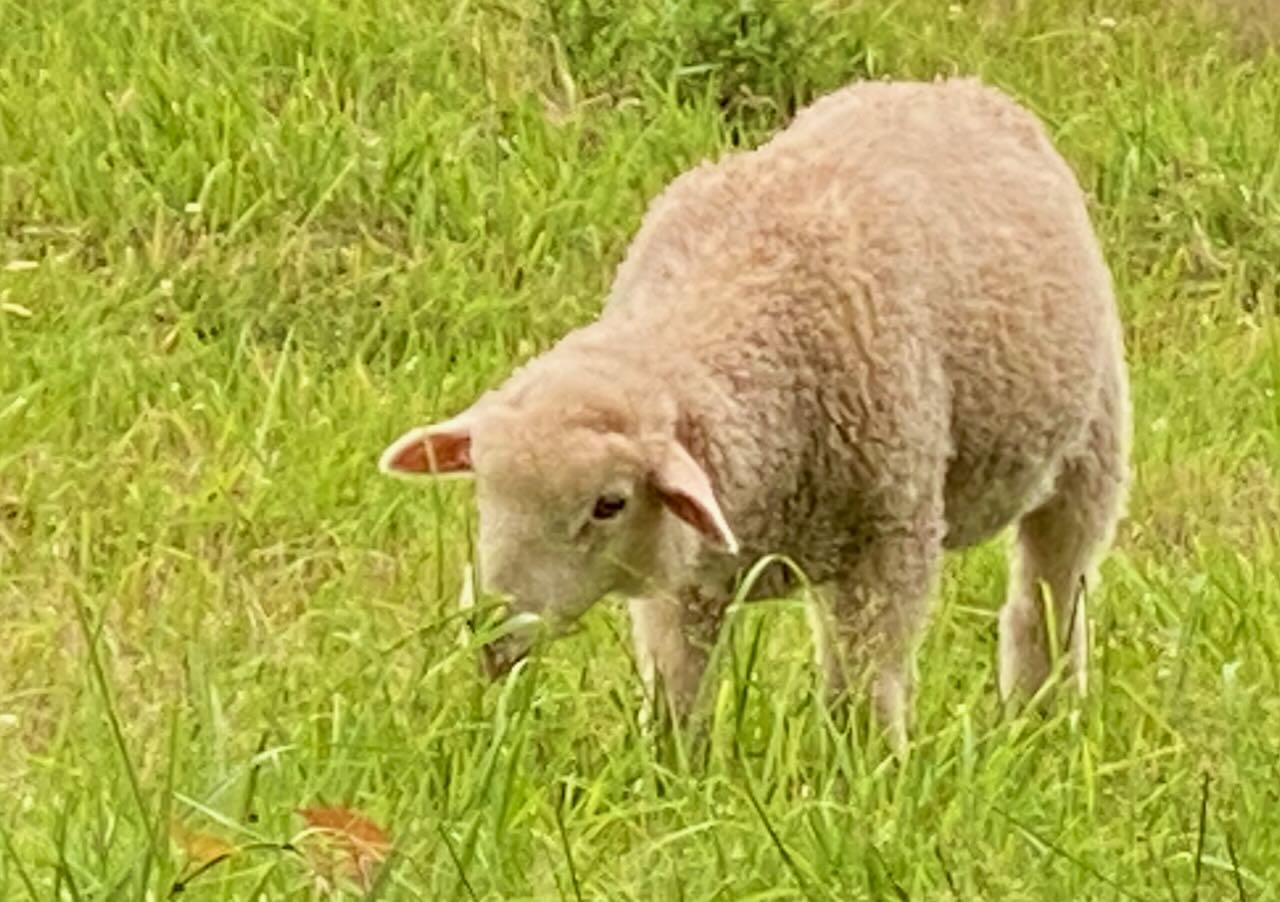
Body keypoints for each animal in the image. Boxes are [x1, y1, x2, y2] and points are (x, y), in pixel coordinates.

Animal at [376, 77, 1131, 747]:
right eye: (484, 488)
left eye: (608, 505)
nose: (490, 632)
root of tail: (952, 86)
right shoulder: (686, 577)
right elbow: (678, 687)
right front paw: (672, 777)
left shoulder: (894, 536)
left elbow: (869, 686)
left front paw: (869, 779)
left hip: (1091, 445)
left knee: (1048, 597)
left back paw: (1040, 718)